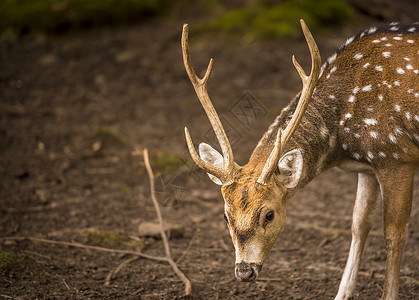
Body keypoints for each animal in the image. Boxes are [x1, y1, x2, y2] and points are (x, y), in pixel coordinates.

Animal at [181, 19, 419, 298]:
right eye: (225, 216)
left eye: (269, 214)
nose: (244, 271)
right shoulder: (367, 167)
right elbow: (359, 225)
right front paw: (341, 294)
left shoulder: (396, 156)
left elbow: (394, 234)